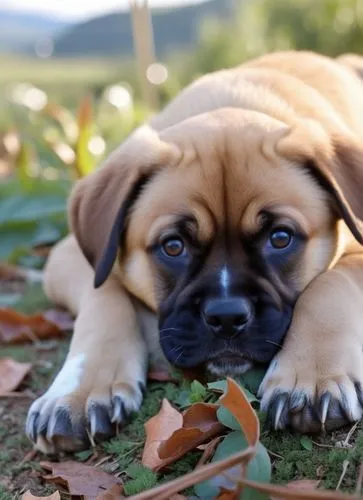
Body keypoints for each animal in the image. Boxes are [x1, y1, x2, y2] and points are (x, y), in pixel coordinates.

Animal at [27, 51, 363, 454]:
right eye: (174, 246)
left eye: (280, 238)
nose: (227, 317)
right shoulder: (70, 254)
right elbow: (103, 294)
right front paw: (80, 389)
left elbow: (330, 284)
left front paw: (311, 375)